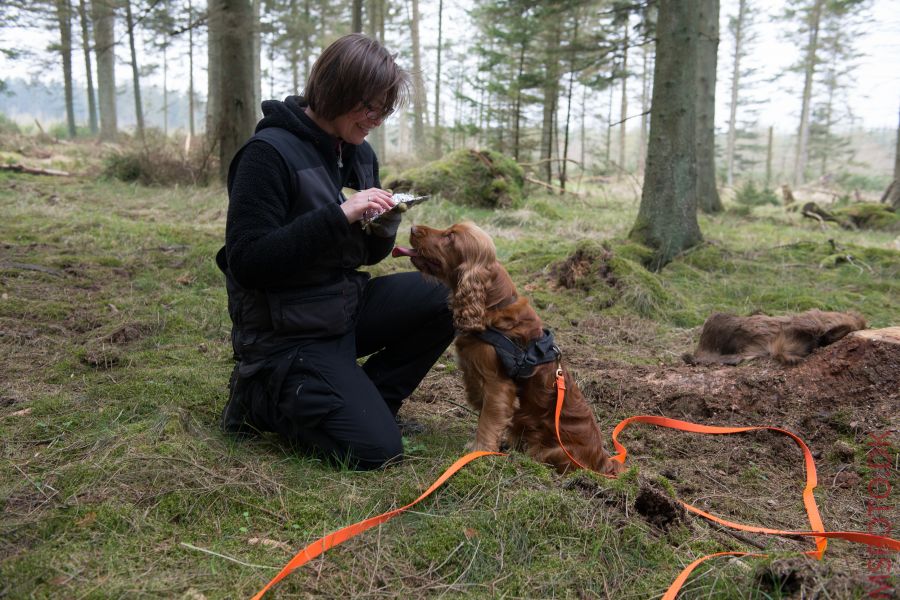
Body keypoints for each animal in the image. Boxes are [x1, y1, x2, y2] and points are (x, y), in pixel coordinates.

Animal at [398, 220, 624, 474]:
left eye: (450, 237)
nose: (412, 228)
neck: (490, 307)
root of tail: (604, 461)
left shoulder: (498, 385)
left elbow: (488, 419)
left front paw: (479, 451)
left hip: (554, 450)